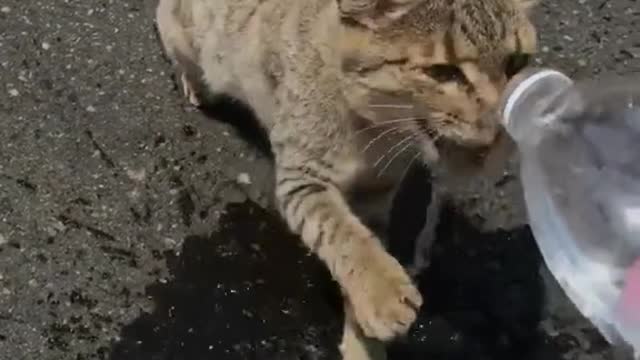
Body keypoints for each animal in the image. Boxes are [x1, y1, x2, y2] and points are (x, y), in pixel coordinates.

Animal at [155, 0, 536, 358]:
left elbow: (364, 241)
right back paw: (197, 83)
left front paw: (363, 340)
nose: (499, 129)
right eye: (442, 72)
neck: (375, 132)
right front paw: (382, 292)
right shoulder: (302, 176)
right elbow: (341, 233)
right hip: (183, 32)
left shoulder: (377, 192)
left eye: (515, 62)